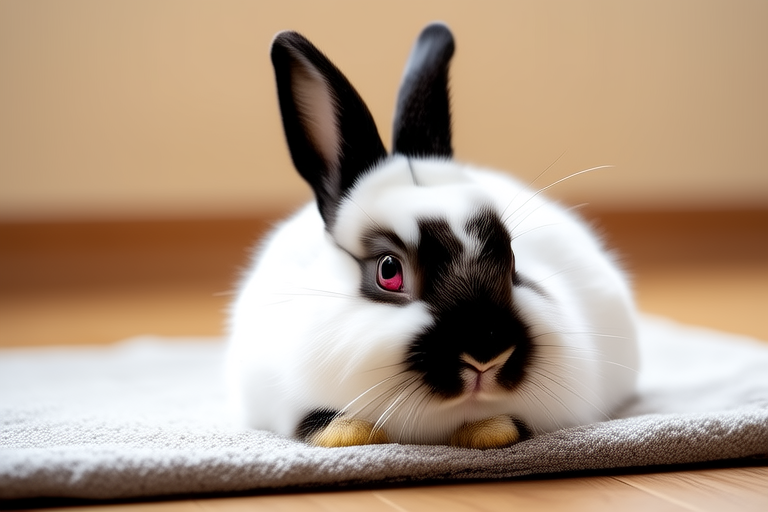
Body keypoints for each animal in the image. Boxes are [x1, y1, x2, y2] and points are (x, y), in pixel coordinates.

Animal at [225, 22, 639, 450]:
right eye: (389, 271)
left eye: (512, 261)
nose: (485, 353)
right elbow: (331, 426)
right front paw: (351, 433)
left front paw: (489, 431)